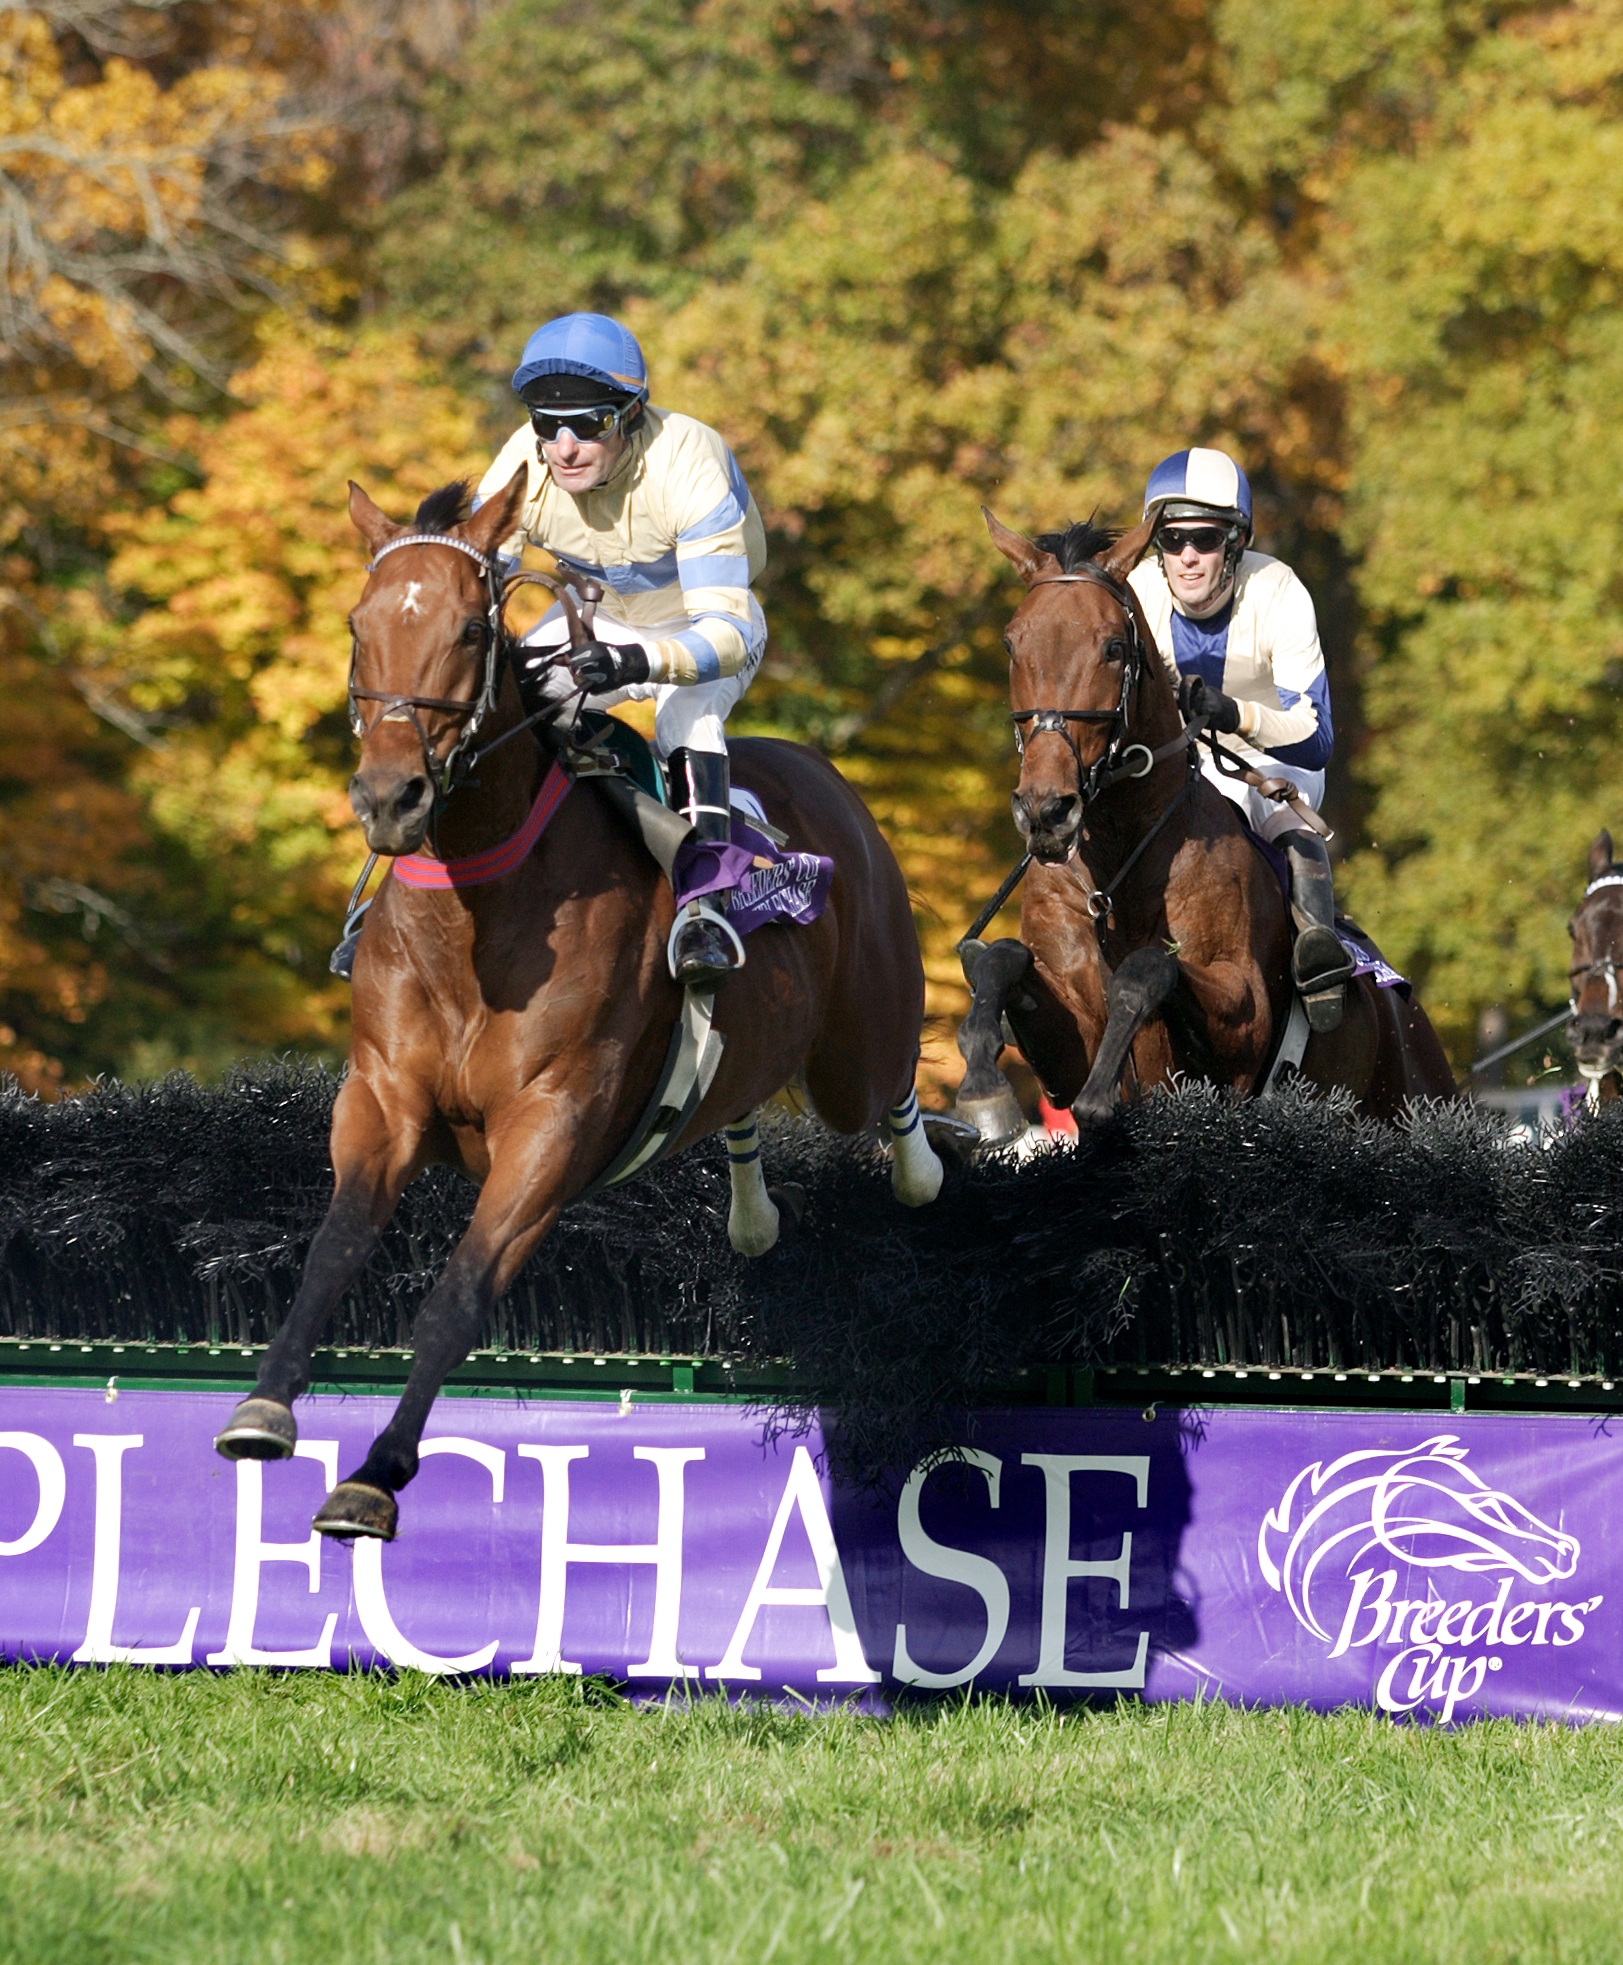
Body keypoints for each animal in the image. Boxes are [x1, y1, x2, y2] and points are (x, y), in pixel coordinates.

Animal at [210, 471, 943, 1532]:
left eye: (473, 628)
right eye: (358, 623)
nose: (388, 797)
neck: (473, 922)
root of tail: (823, 774)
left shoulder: (551, 1122)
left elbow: (460, 1293)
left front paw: (375, 1473)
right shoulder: (381, 1099)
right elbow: (332, 1250)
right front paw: (262, 1407)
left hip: (856, 1046)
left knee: (891, 1089)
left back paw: (921, 1165)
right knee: (740, 1101)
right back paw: (752, 1211)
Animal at [947, 514, 1454, 1131]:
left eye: (1113, 647)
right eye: (1011, 642)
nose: (1046, 810)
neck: (1116, 868)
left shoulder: (1242, 1015)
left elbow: (1147, 969)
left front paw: (1101, 1094)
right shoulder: (1065, 1043)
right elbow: (1000, 959)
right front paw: (983, 1087)